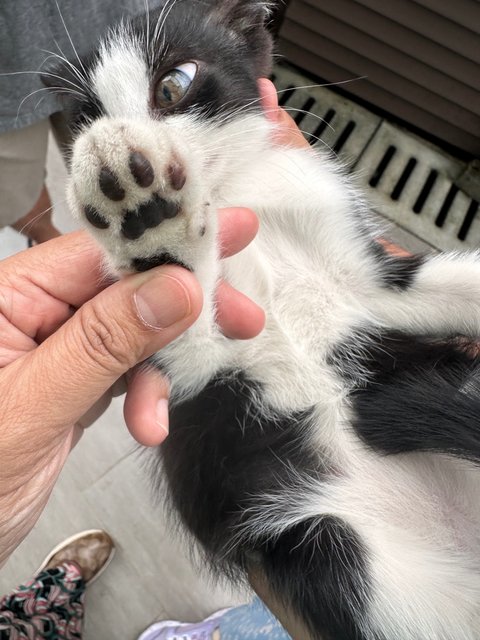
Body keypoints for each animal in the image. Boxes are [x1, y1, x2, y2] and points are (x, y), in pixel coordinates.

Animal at [45, 2, 480, 636]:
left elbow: (446, 284)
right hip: (341, 551)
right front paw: (147, 219)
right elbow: (179, 311)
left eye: (173, 84)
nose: (118, 140)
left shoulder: (372, 281)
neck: (231, 196)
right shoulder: (198, 377)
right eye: (86, 117)